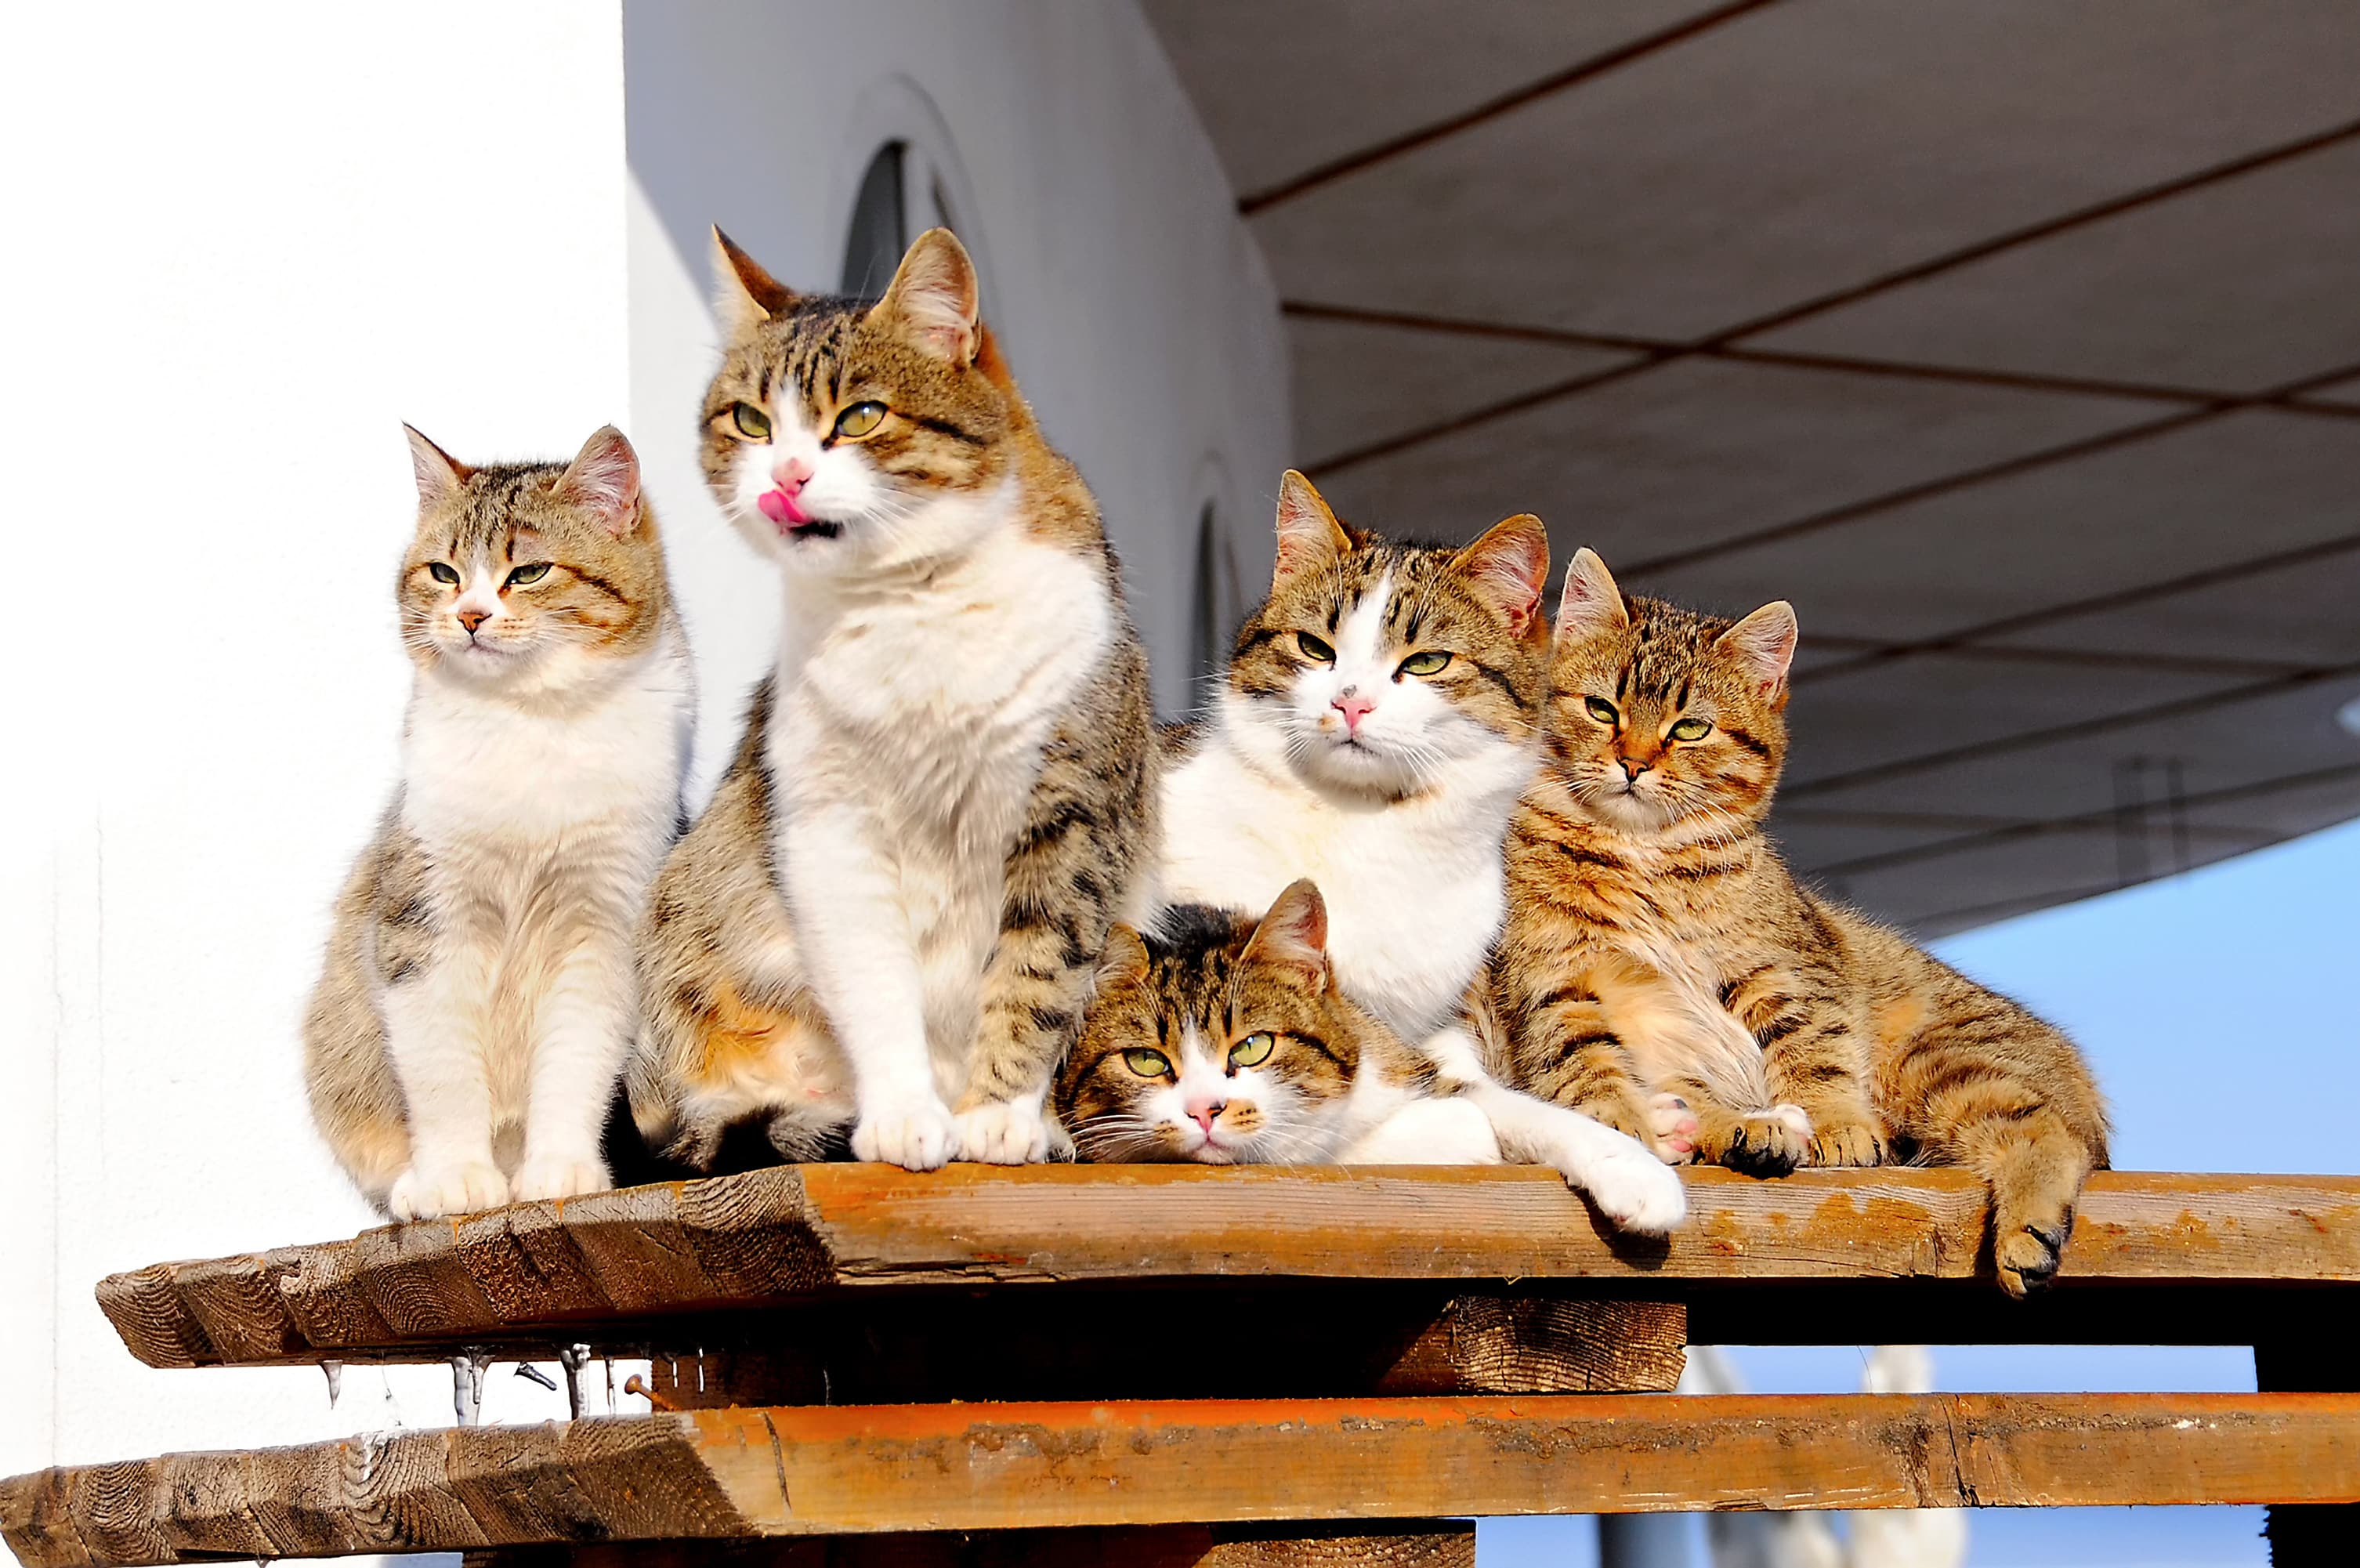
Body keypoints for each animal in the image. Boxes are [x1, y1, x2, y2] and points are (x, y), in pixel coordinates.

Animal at [304, 425, 689, 1228]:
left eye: (530, 570)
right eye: (444, 572)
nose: (471, 616)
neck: (529, 720)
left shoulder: (603, 923)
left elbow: (577, 1059)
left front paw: (561, 1170)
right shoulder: (423, 919)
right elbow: (440, 1069)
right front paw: (454, 1178)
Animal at [623, 226, 1146, 1171]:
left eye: (861, 416)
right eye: (751, 422)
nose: (787, 476)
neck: (912, 599)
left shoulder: (1075, 812)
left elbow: (1039, 972)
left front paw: (1001, 1114)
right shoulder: (830, 822)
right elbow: (874, 981)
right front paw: (907, 1115)